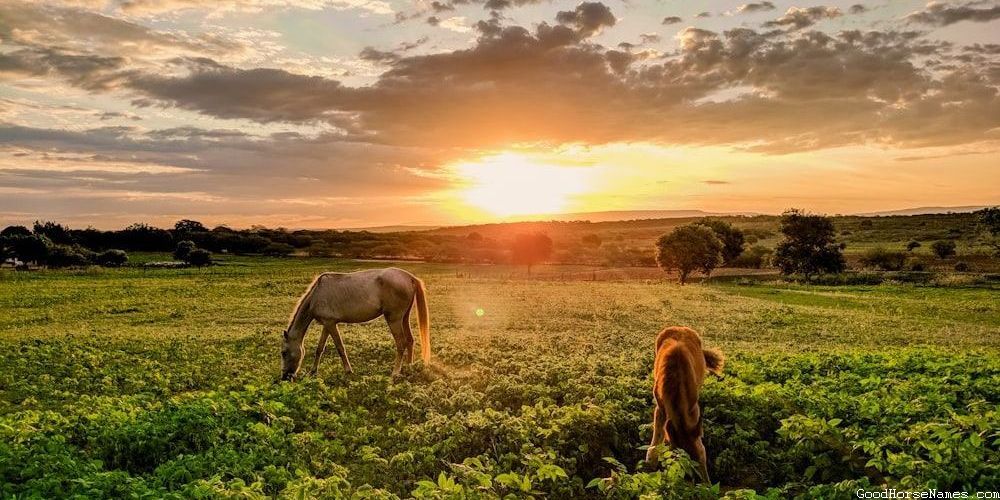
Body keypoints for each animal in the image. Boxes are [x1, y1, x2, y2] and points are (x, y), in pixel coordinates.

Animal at [280, 267, 429, 381]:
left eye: (284, 353)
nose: (285, 377)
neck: (317, 294)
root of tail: (410, 277)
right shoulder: (327, 324)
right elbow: (320, 348)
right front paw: (313, 371)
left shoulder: (330, 324)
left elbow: (340, 348)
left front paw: (348, 371)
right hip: (404, 318)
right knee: (410, 340)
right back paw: (409, 367)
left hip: (394, 319)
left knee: (401, 343)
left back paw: (395, 372)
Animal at [645, 326, 724, 484]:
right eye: (683, 463)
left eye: (703, 456)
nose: (705, 485)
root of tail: (680, 327)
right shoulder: (661, 408)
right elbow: (658, 435)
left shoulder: (693, 409)